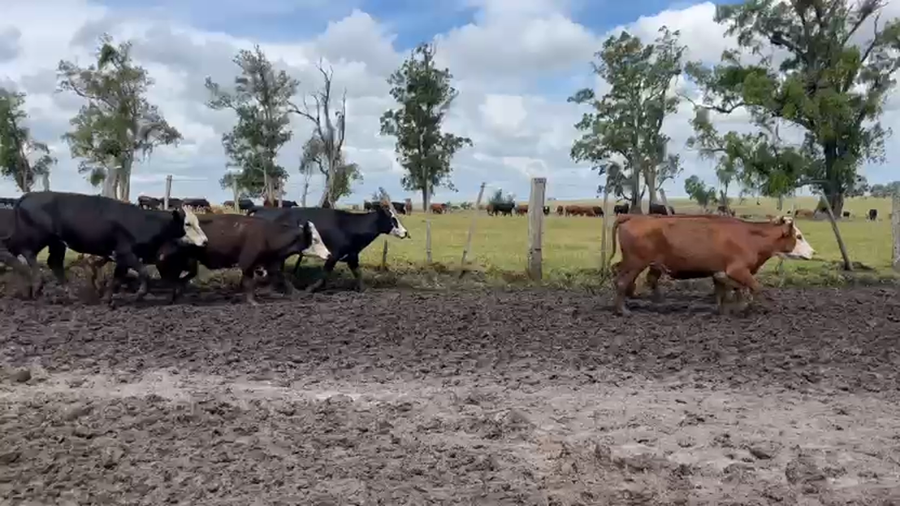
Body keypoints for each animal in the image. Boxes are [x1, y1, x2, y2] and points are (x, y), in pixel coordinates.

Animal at [4, 191, 208, 304]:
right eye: (187, 224)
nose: (205, 241)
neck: (141, 222)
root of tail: (29, 195)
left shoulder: (122, 258)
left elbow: (117, 278)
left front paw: (107, 298)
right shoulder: (126, 253)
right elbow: (144, 273)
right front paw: (139, 295)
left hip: (56, 243)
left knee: (53, 263)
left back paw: (68, 294)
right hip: (36, 235)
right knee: (24, 251)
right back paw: (36, 284)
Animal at [155, 214, 331, 305]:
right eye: (315, 239)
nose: (329, 254)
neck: (268, 235)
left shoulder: (271, 263)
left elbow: (284, 279)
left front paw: (299, 294)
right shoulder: (247, 263)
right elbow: (248, 282)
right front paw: (252, 301)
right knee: (171, 277)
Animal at [248, 202, 410, 292]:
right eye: (393, 219)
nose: (405, 232)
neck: (348, 226)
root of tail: (261, 209)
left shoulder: (352, 256)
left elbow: (358, 273)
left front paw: (364, 289)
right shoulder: (334, 255)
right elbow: (324, 275)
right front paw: (310, 289)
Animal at [608, 213, 814, 315]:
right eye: (798, 236)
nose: (813, 252)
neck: (750, 238)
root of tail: (633, 217)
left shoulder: (722, 271)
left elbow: (725, 290)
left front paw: (725, 309)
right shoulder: (738, 269)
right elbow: (755, 287)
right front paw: (745, 308)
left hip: (634, 263)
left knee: (621, 276)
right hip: (636, 262)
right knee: (622, 282)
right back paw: (623, 310)